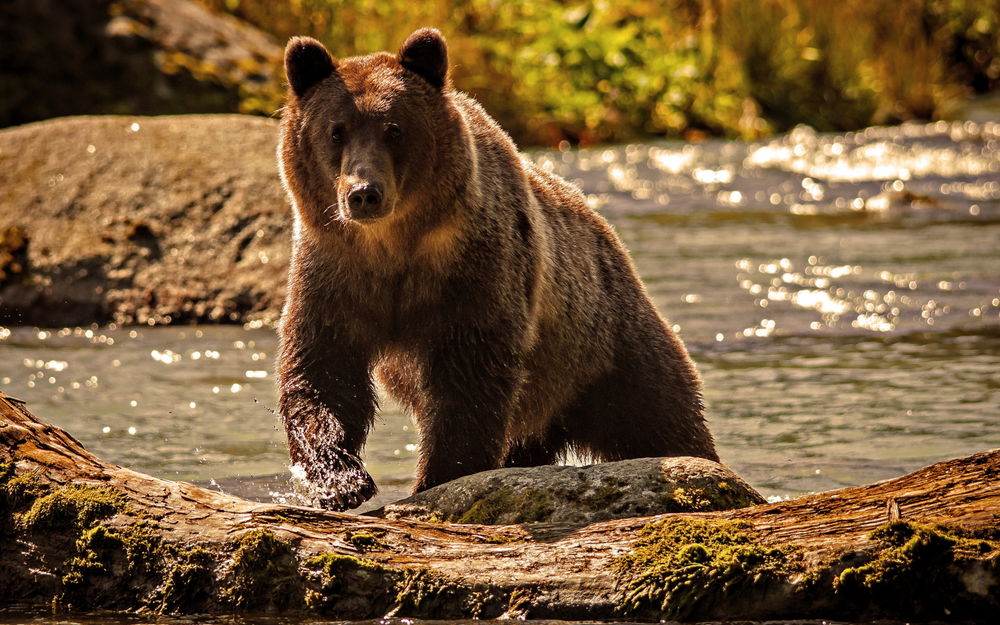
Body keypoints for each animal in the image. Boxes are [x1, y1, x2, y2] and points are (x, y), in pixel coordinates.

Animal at [276, 26, 720, 510]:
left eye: (393, 128)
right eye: (336, 131)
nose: (363, 193)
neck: (393, 246)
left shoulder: (476, 271)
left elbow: (469, 379)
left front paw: (437, 477)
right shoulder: (335, 271)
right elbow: (323, 368)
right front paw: (339, 480)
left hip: (604, 345)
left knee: (660, 415)